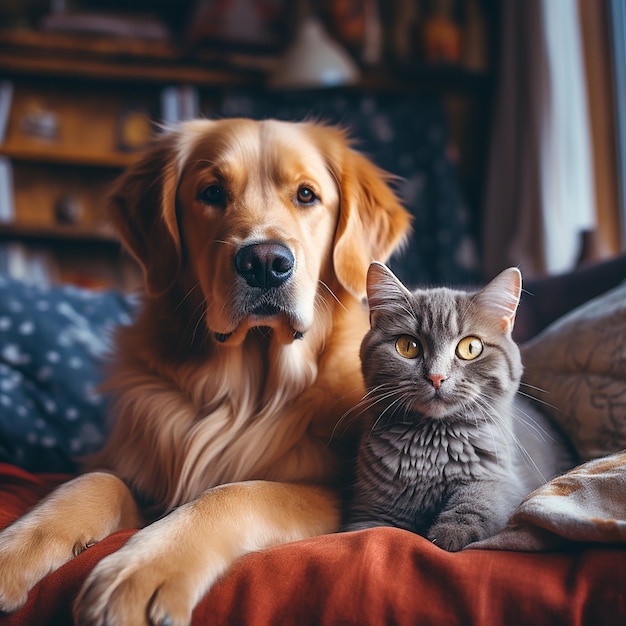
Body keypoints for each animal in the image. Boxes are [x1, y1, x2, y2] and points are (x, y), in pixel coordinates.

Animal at [0, 118, 410, 624]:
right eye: (212, 192)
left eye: (306, 195)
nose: (265, 262)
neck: (242, 393)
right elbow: (95, 479)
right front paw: (14, 550)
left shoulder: (335, 493)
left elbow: (238, 491)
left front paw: (145, 568)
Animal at [342, 260, 576, 548]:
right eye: (407, 346)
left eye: (470, 348)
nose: (436, 377)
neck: (433, 450)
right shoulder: (369, 508)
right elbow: (367, 532)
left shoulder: (503, 479)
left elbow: (483, 500)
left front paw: (451, 532)